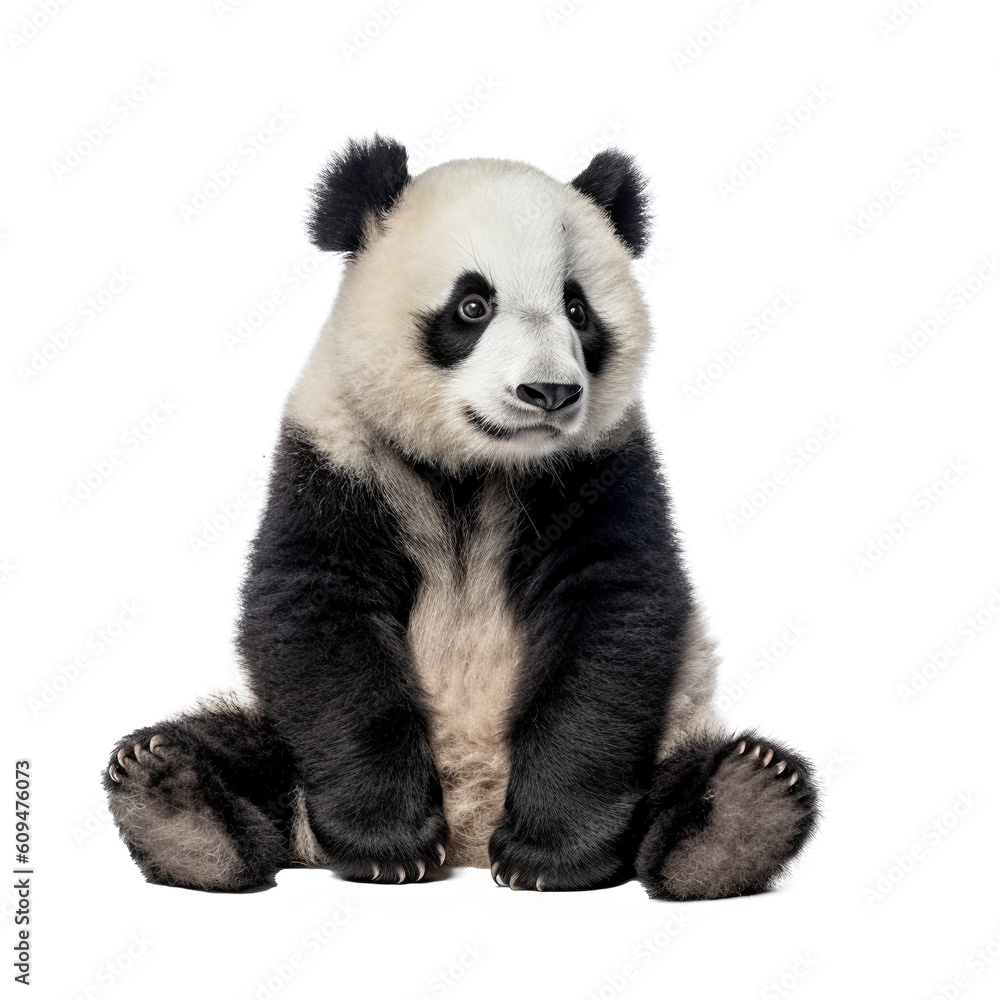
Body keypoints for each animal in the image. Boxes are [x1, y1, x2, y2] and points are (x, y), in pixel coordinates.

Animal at [104, 136, 818, 900]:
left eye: (577, 309)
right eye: (472, 305)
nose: (549, 393)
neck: (476, 468)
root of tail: (470, 831)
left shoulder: (602, 466)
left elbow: (610, 619)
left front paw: (550, 855)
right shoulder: (333, 454)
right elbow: (318, 613)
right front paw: (387, 846)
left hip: (672, 727)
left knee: (688, 770)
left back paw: (737, 815)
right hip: (283, 747)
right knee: (241, 746)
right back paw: (175, 804)